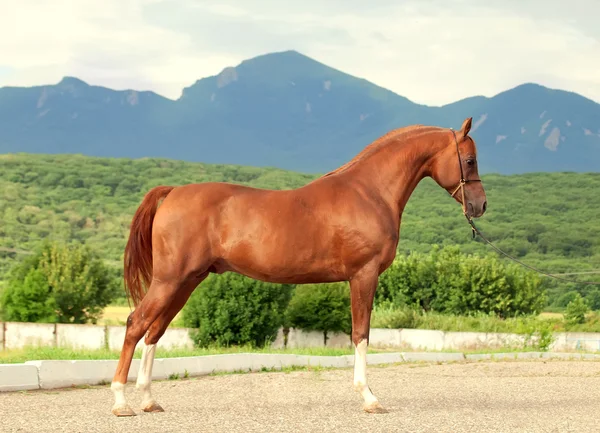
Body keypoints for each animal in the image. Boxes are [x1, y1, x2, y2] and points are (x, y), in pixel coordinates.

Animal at [111, 116, 488, 414]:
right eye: (469, 160)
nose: (480, 205)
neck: (369, 192)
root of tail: (172, 192)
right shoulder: (363, 276)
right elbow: (361, 334)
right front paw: (369, 398)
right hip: (170, 280)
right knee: (135, 324)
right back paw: (121, 402)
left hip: (187, 281)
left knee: (155, 332)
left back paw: (149, 400)